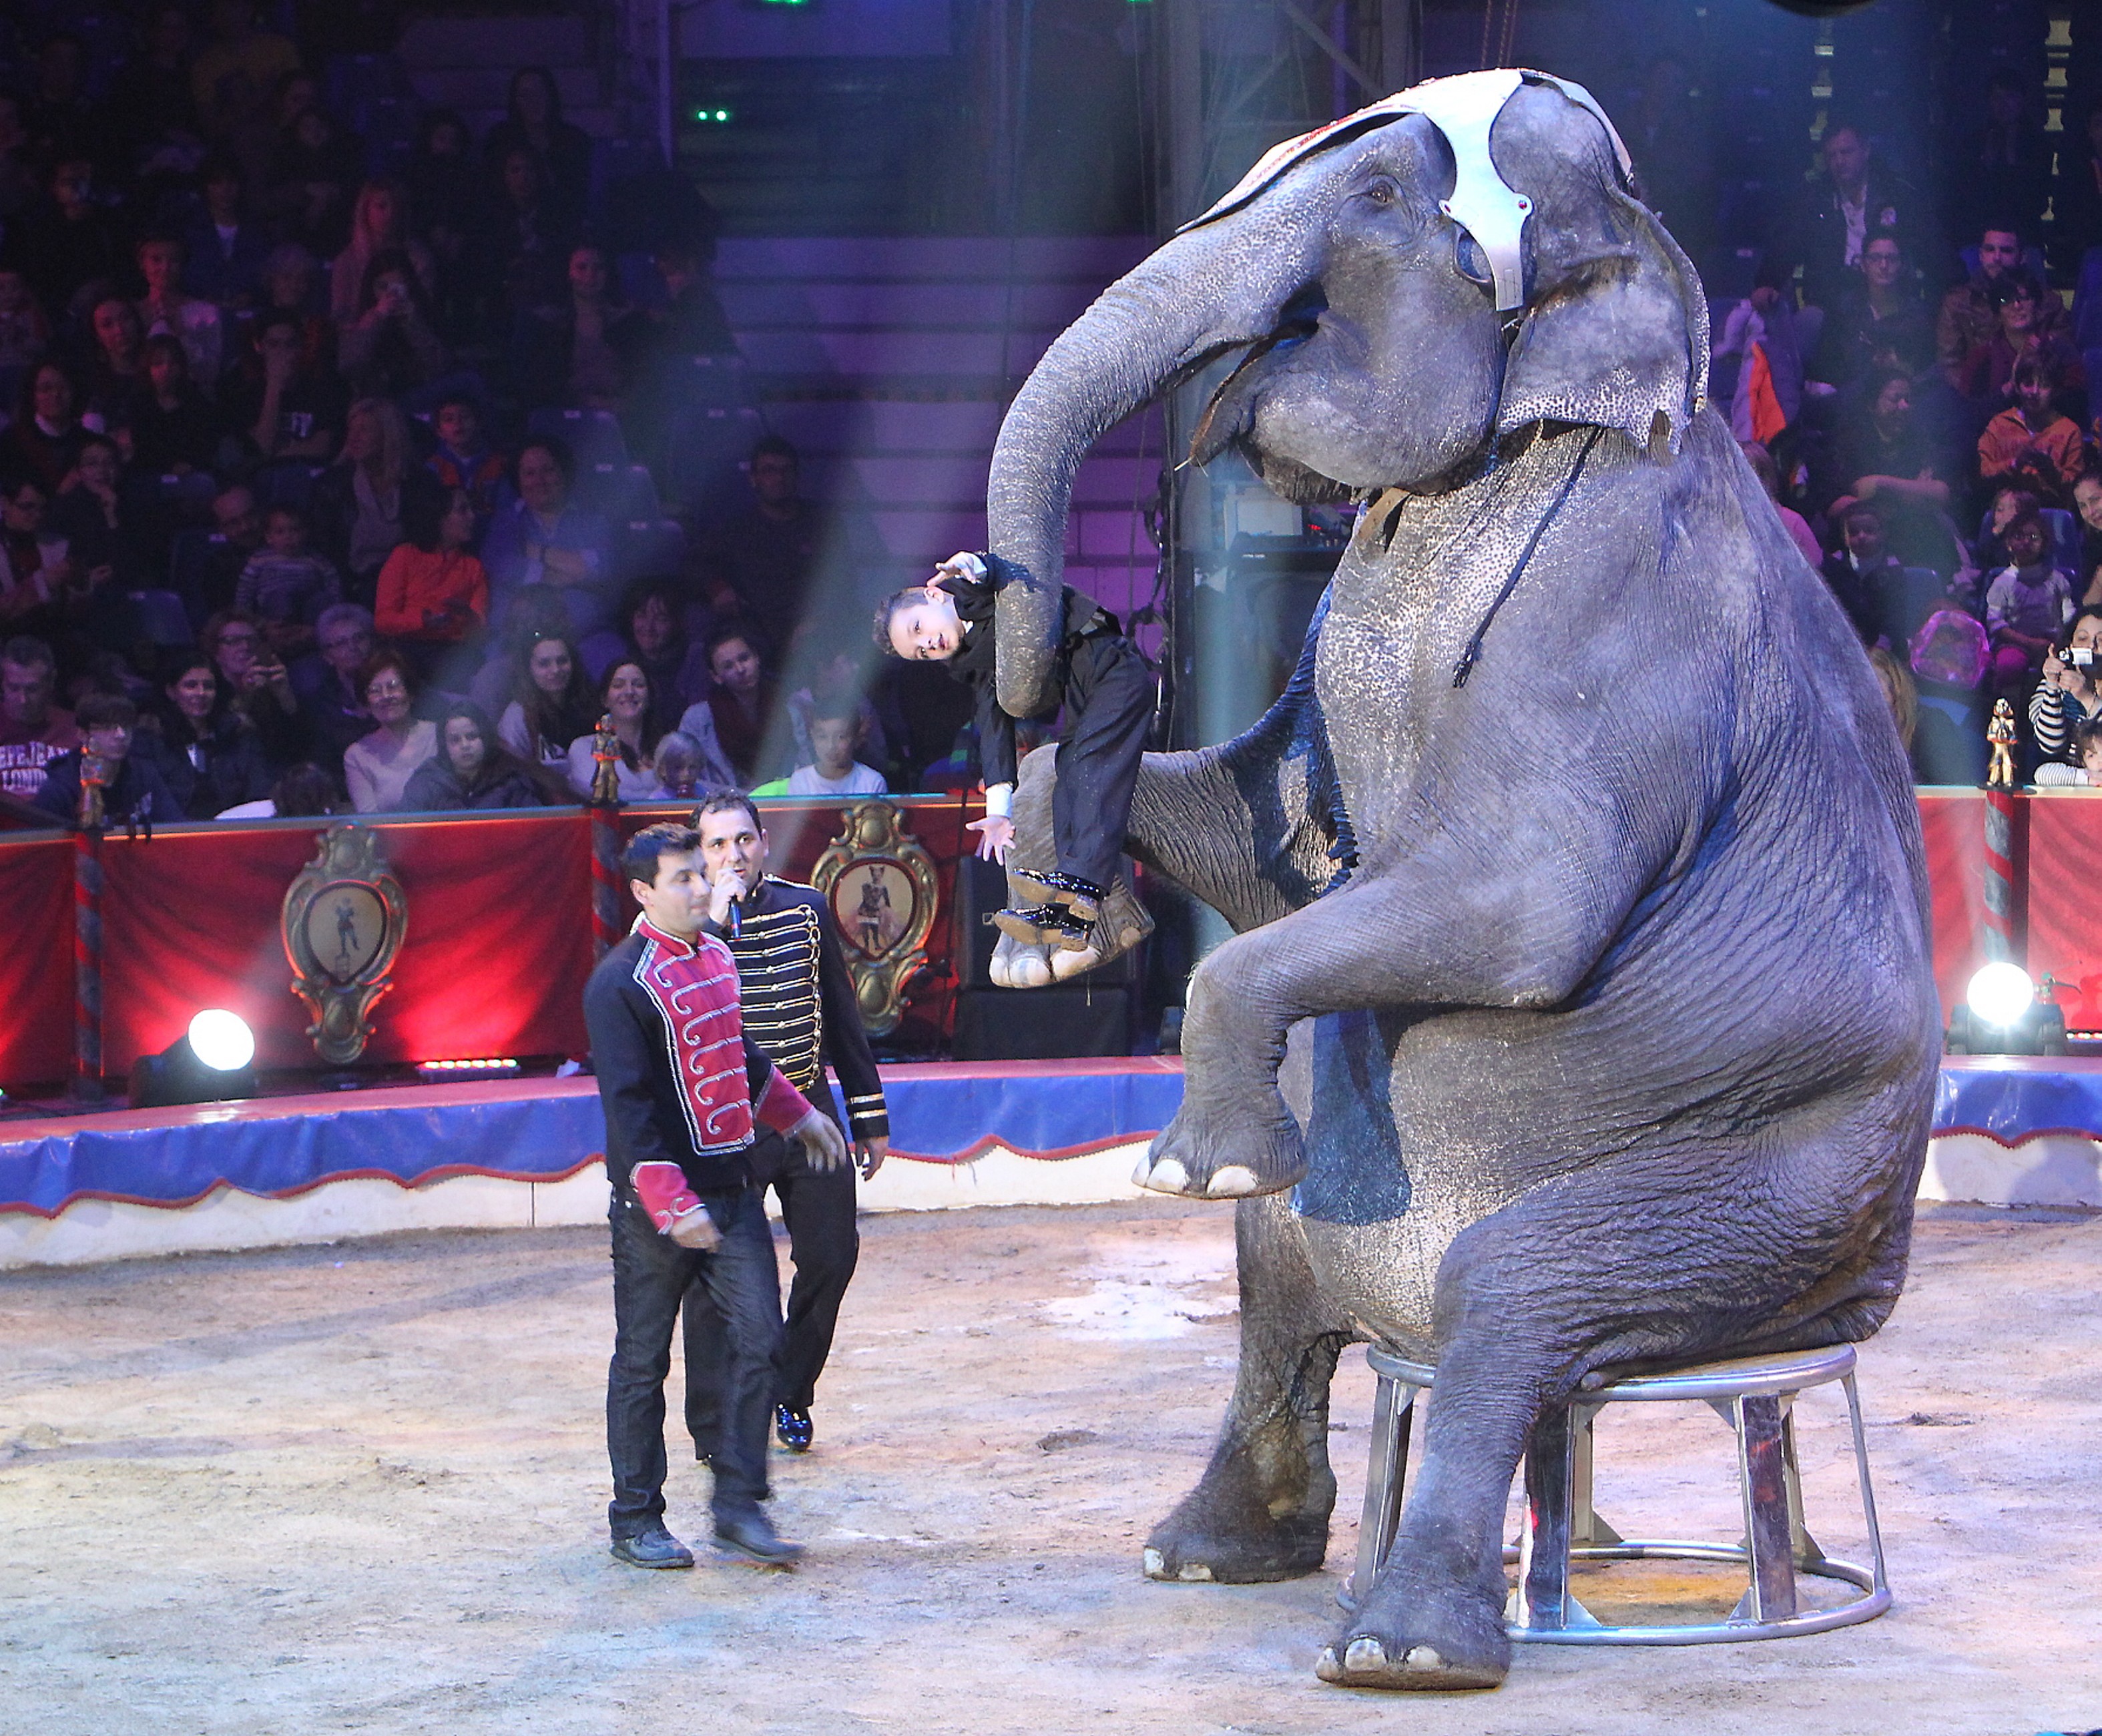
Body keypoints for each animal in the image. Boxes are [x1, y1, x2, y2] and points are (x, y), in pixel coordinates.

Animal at [983, 71, 1934, 1689]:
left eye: (1369, 204)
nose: (1033, 625)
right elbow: (1266, 839)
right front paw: (1045, 940)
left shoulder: (1609, 610)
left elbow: (1518, 905)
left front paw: (1182, 1158)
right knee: (1278, 1270)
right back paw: (1203, 1552)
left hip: (1787, 1195)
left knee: (1514, 1295)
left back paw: (1405, 1647)